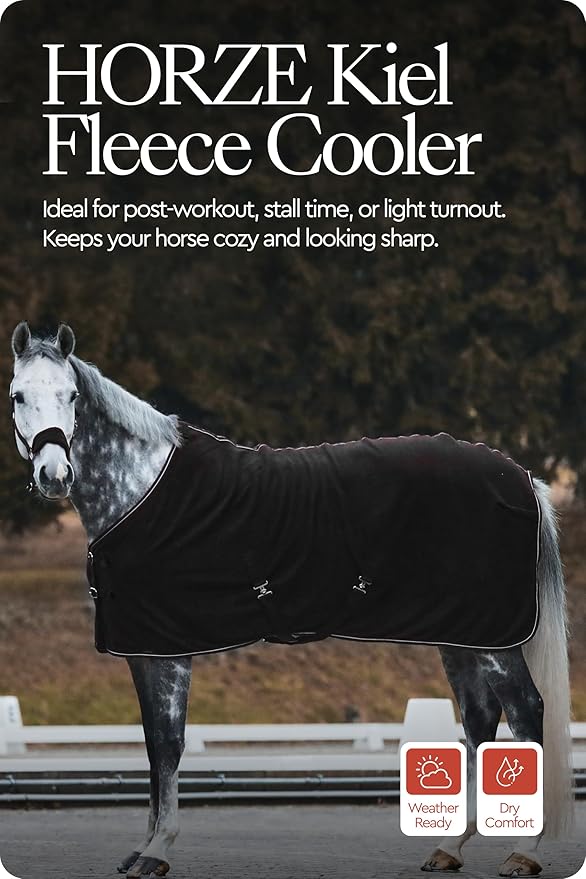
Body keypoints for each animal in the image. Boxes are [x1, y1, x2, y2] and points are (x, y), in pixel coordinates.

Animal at [8, 321, 572, 878]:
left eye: (71, 396)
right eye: (17, 396)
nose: (54, 475)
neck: (142, 489)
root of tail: (522, 479)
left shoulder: (169, 651)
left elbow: (169, 744)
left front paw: (158, 850)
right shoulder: (144, 650)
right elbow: (151, 745)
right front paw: (143, 846)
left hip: (494, 638)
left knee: (526, 713)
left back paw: (523, 852)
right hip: (461, 634)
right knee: (479, 721)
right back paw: (450, 847)